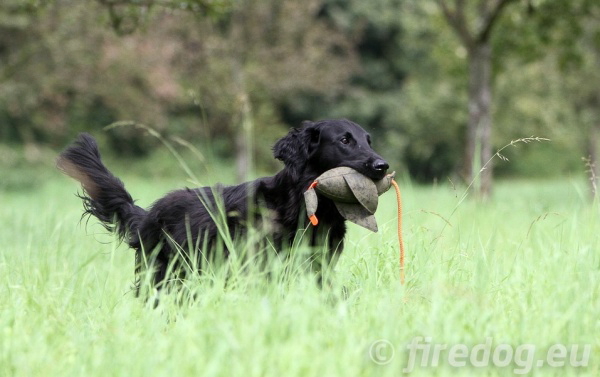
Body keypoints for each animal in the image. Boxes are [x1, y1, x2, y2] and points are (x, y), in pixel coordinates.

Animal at [57, 119, 390, 290]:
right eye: (345, 140)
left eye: (368, 140)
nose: (382, 165)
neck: (300, 205)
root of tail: (149, 214)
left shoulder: (317, 267)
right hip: (165, 276)